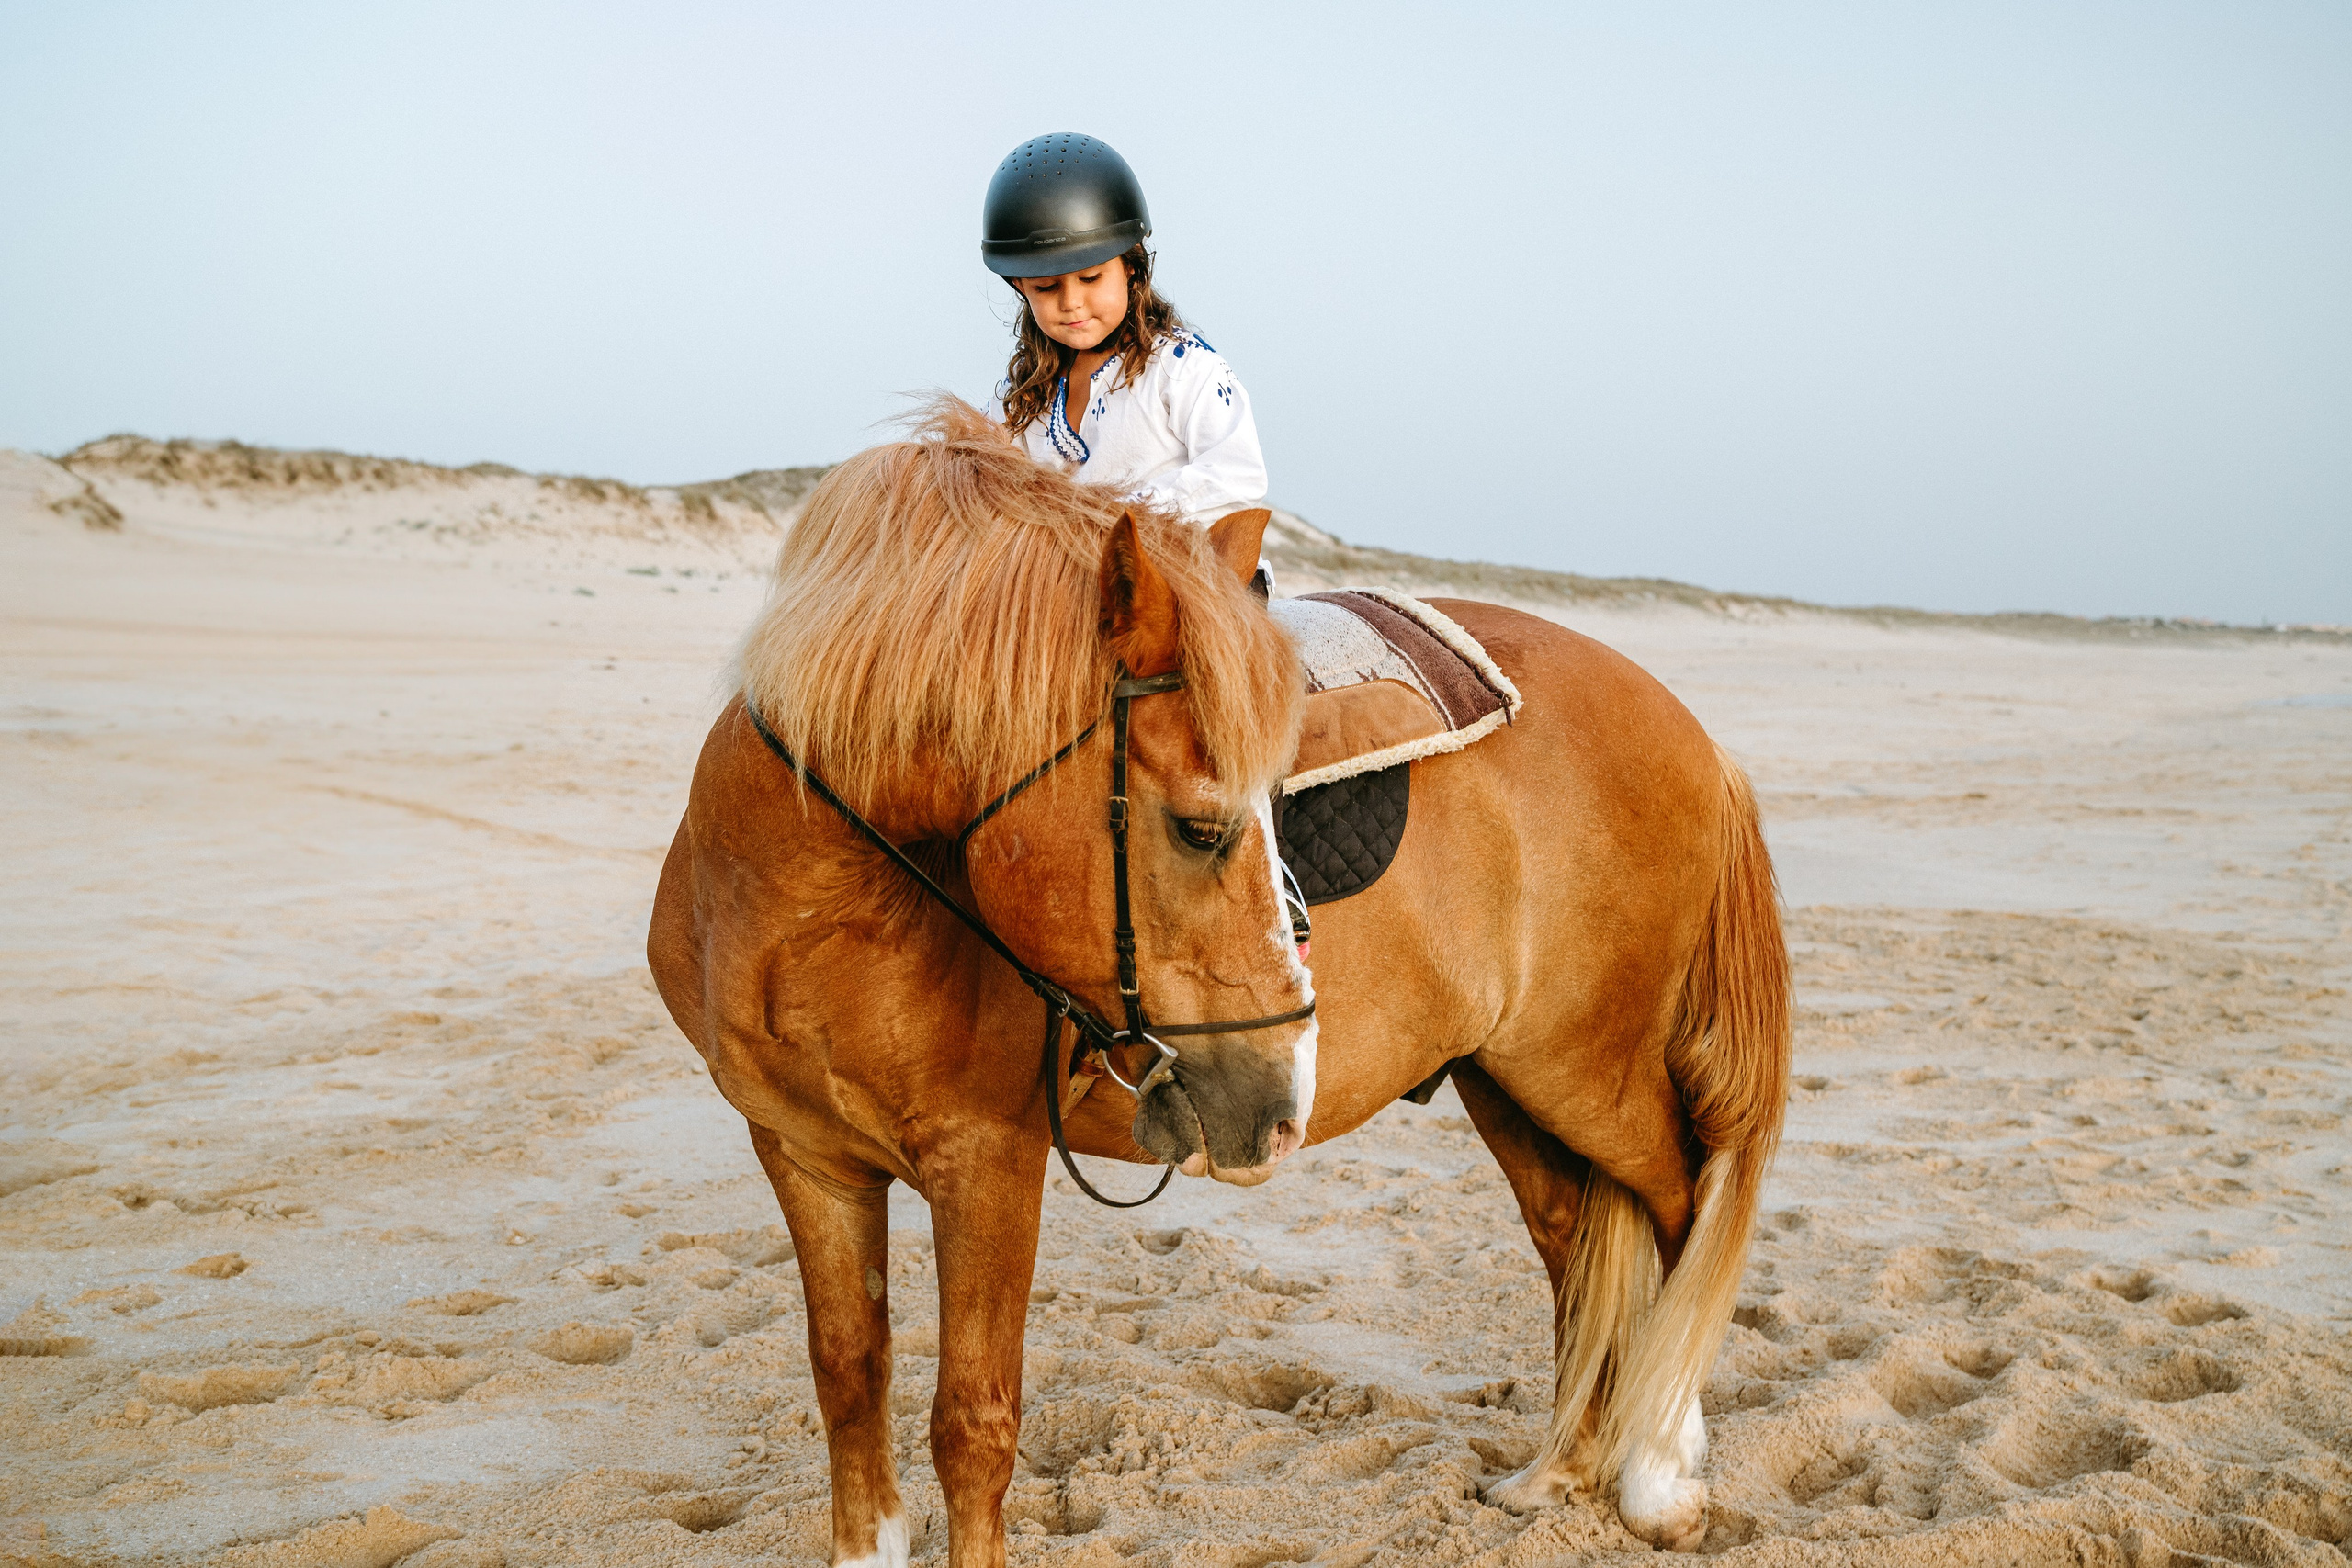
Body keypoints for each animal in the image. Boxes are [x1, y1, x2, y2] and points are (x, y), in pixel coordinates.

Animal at [647, 400, 1790, 1566]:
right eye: (1203, 829)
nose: (1282, 1101)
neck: (805, 916)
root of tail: (1698, 740)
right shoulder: (806, 1157)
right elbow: (848, 1378)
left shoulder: (988, 1162)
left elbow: (972, 1423)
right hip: (1503, 1077)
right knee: (1577, 1241)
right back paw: (1558, 1472)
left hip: (1586, 1069)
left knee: (1679, 1205)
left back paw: (1658, 1473)